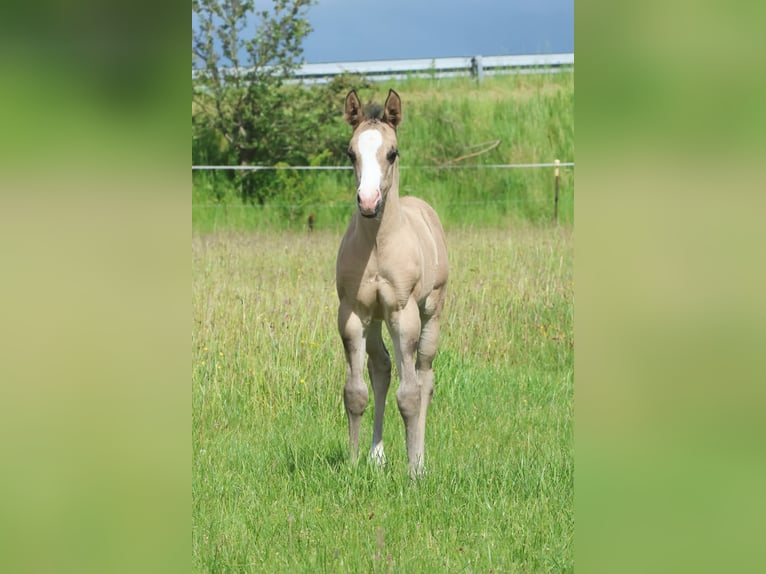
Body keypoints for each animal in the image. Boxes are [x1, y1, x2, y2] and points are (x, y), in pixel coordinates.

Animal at [335, 89, 449, 475]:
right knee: (381, 368)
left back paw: (421, 458)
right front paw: (354, 463)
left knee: (425, 376)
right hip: (375, 318)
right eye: (350, 152)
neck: (378, 246)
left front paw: (414, 470)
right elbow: (356, 392)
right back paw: (377, 455)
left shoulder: (403, 313)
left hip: (431, 310)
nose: (369, 202)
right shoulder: (352, 313)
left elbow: (410, 394)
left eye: (392, 152)